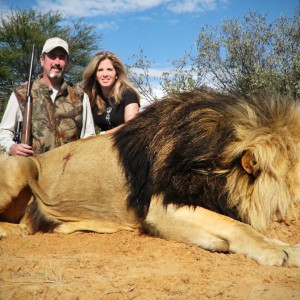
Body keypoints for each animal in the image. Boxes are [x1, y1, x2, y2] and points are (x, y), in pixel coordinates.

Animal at [0, 90, 300, 266]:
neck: (214, 162)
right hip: (19, 166)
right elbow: (238, 226)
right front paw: (274, 252)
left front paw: (289, 248)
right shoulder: (160, 208)